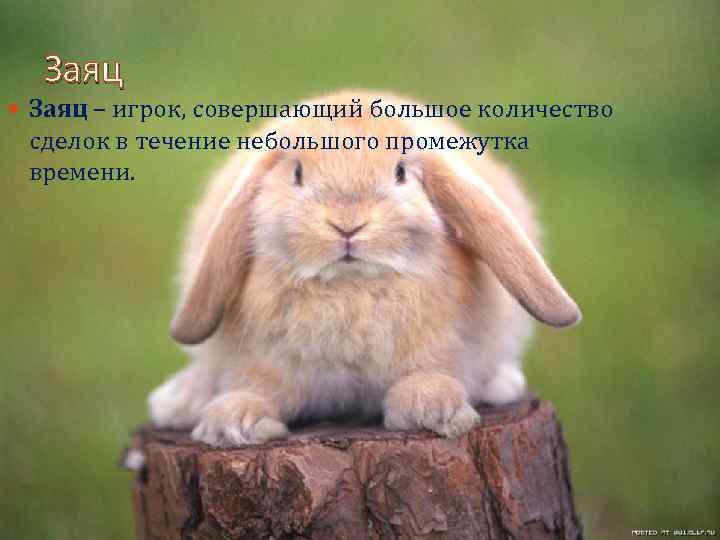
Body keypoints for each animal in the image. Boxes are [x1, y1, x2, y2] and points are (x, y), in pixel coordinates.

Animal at [148, 90, 580, 447]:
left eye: (401, 172)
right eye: (297, 173)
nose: (347, 224)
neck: (350, 287)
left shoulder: (440, 347)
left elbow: (427, 374)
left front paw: (434, 408)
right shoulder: (265, 360)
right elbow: (257, 387)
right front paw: (232, 422)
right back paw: (180, 401)